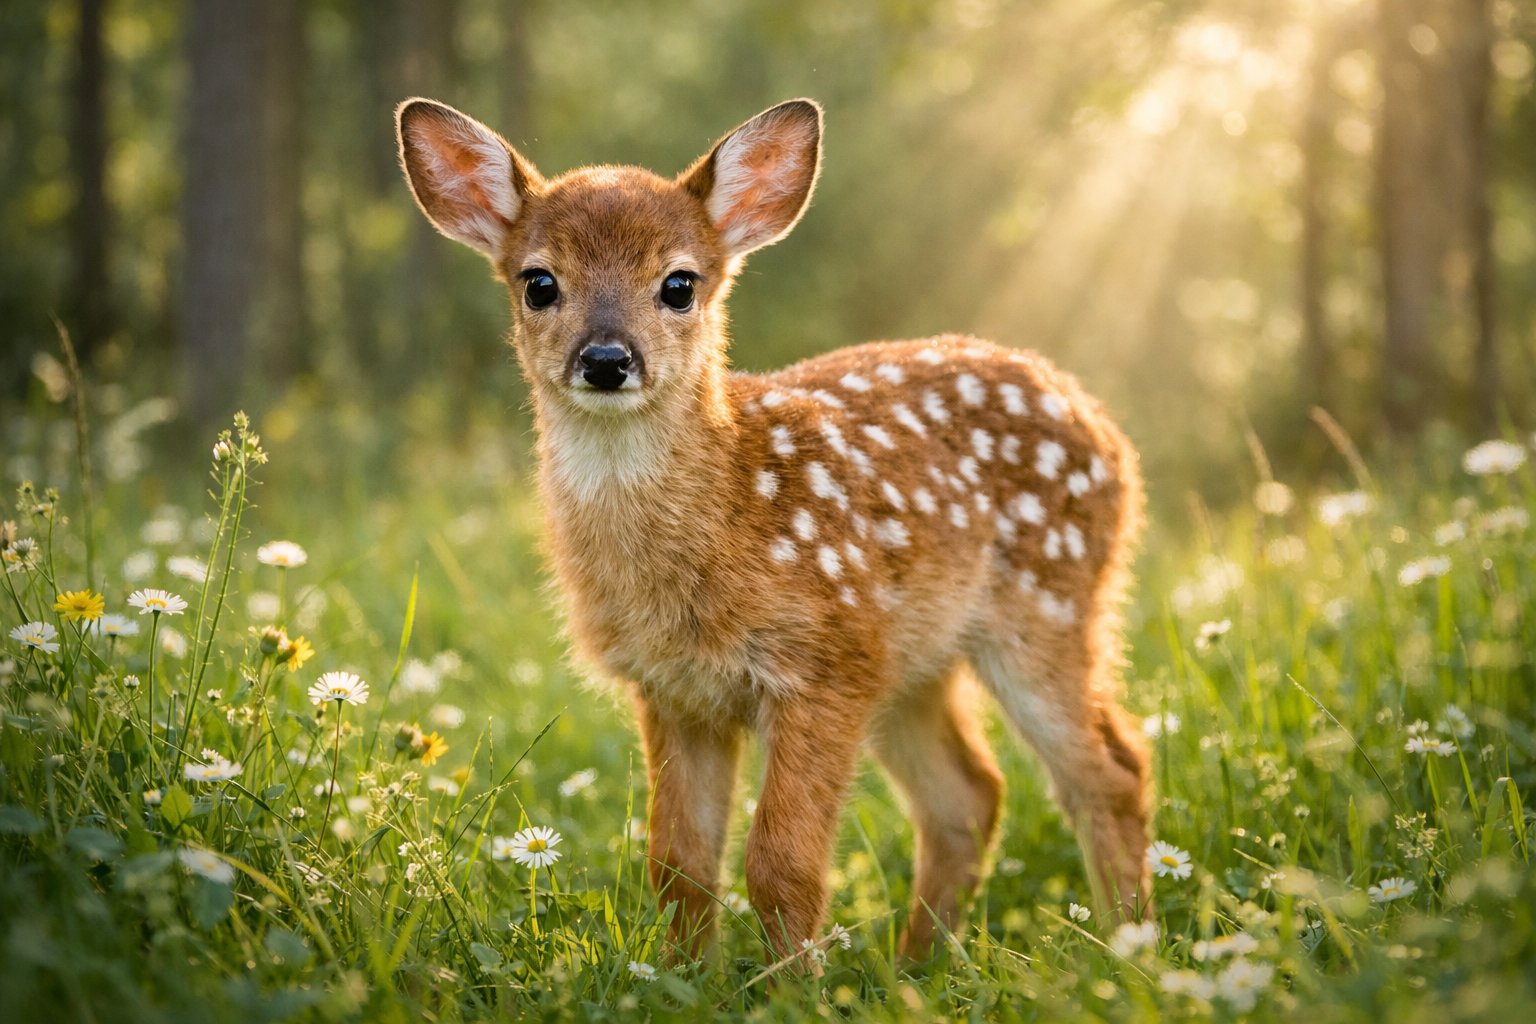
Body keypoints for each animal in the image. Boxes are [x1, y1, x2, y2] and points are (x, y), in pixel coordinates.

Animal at [396, 96, 1152, 961]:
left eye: (679, 284)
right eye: (539, 282)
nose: (607, 359)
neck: (725, 523)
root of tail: (1106, 429)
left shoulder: (821, 662)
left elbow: (781, 865)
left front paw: (790, 981)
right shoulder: (676, 691)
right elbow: (679, 863)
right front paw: (686, 974)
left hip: (1048, 608)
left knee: (1110, 771)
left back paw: (1131, 949)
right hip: (913, 662)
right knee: (968, 795)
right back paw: (919, 966)